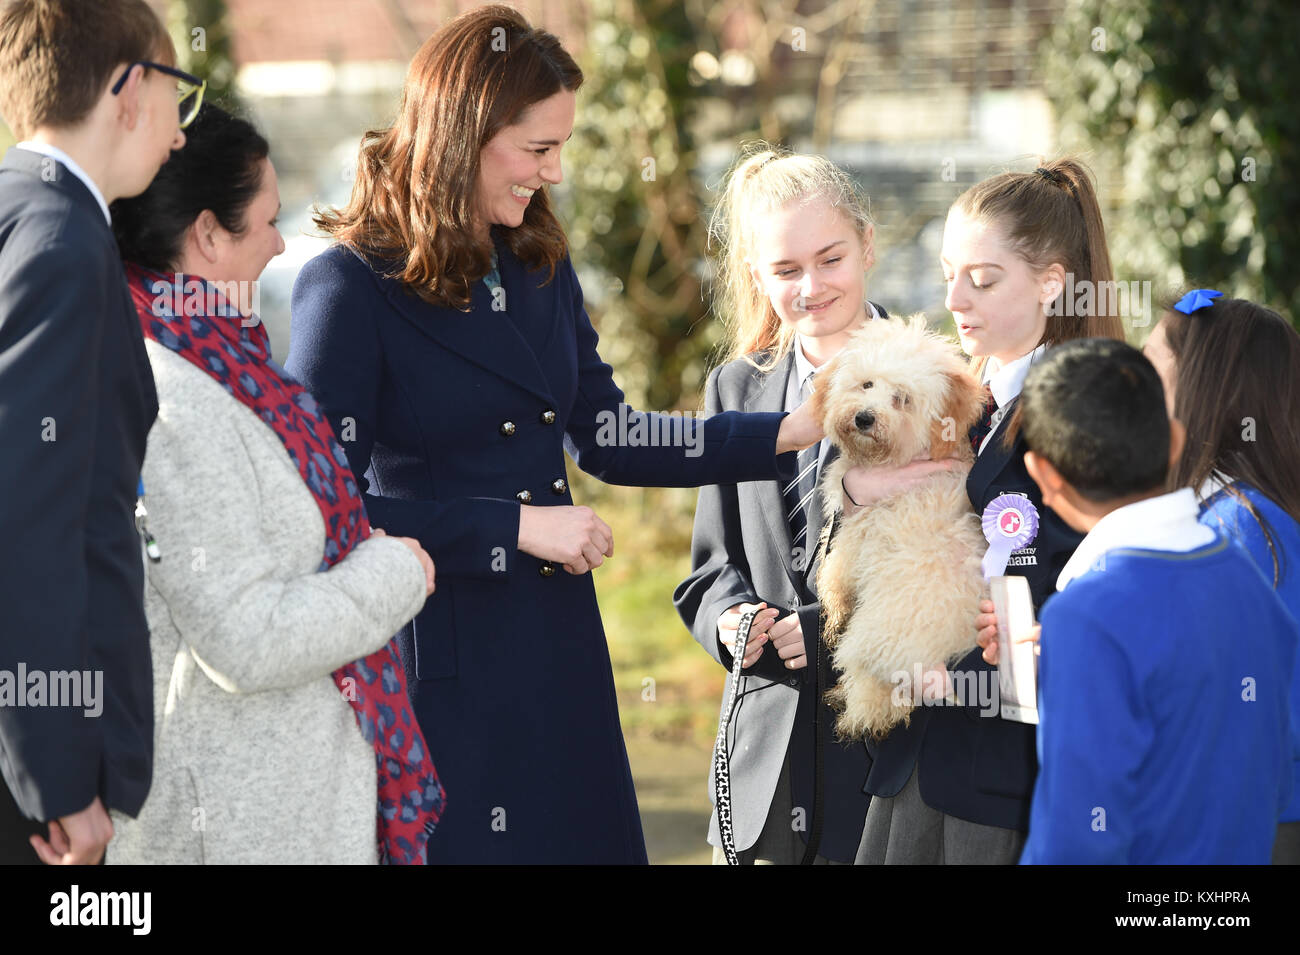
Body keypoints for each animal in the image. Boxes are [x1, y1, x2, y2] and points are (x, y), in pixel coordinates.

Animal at [811, 314, 982, 738]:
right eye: (867, 384)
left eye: (902, 398)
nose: (864, 418)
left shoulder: (864, 528)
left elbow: (836, 569)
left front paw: (833, 602)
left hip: (879, 633)